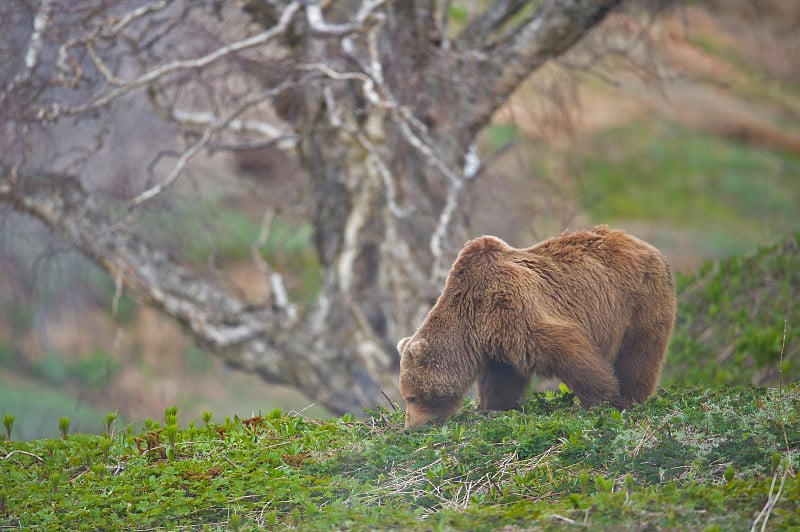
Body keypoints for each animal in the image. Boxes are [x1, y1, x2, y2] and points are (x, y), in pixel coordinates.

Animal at [398, 227, 676, 430]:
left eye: (411, 396)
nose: (410, 428)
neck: (471, 321)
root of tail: (645, 245)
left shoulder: (511, 308)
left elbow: (569, 349)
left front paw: (605, 401)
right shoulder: (495, 340)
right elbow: (501, 381)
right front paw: (492, 409)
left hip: (638, 301)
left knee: (638, 356)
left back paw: (633, 397)